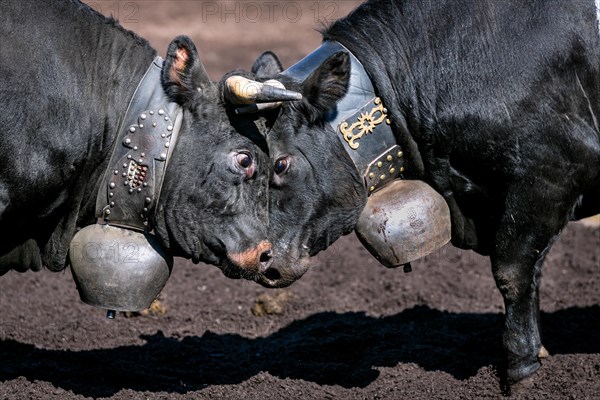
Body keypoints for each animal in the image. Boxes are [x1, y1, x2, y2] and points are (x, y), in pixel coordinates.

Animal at [234, 0, 600, 384]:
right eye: (247, 161)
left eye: (280, 164)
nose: (261, 261)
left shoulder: (552, 170)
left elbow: (512, 272)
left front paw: (521, 368)